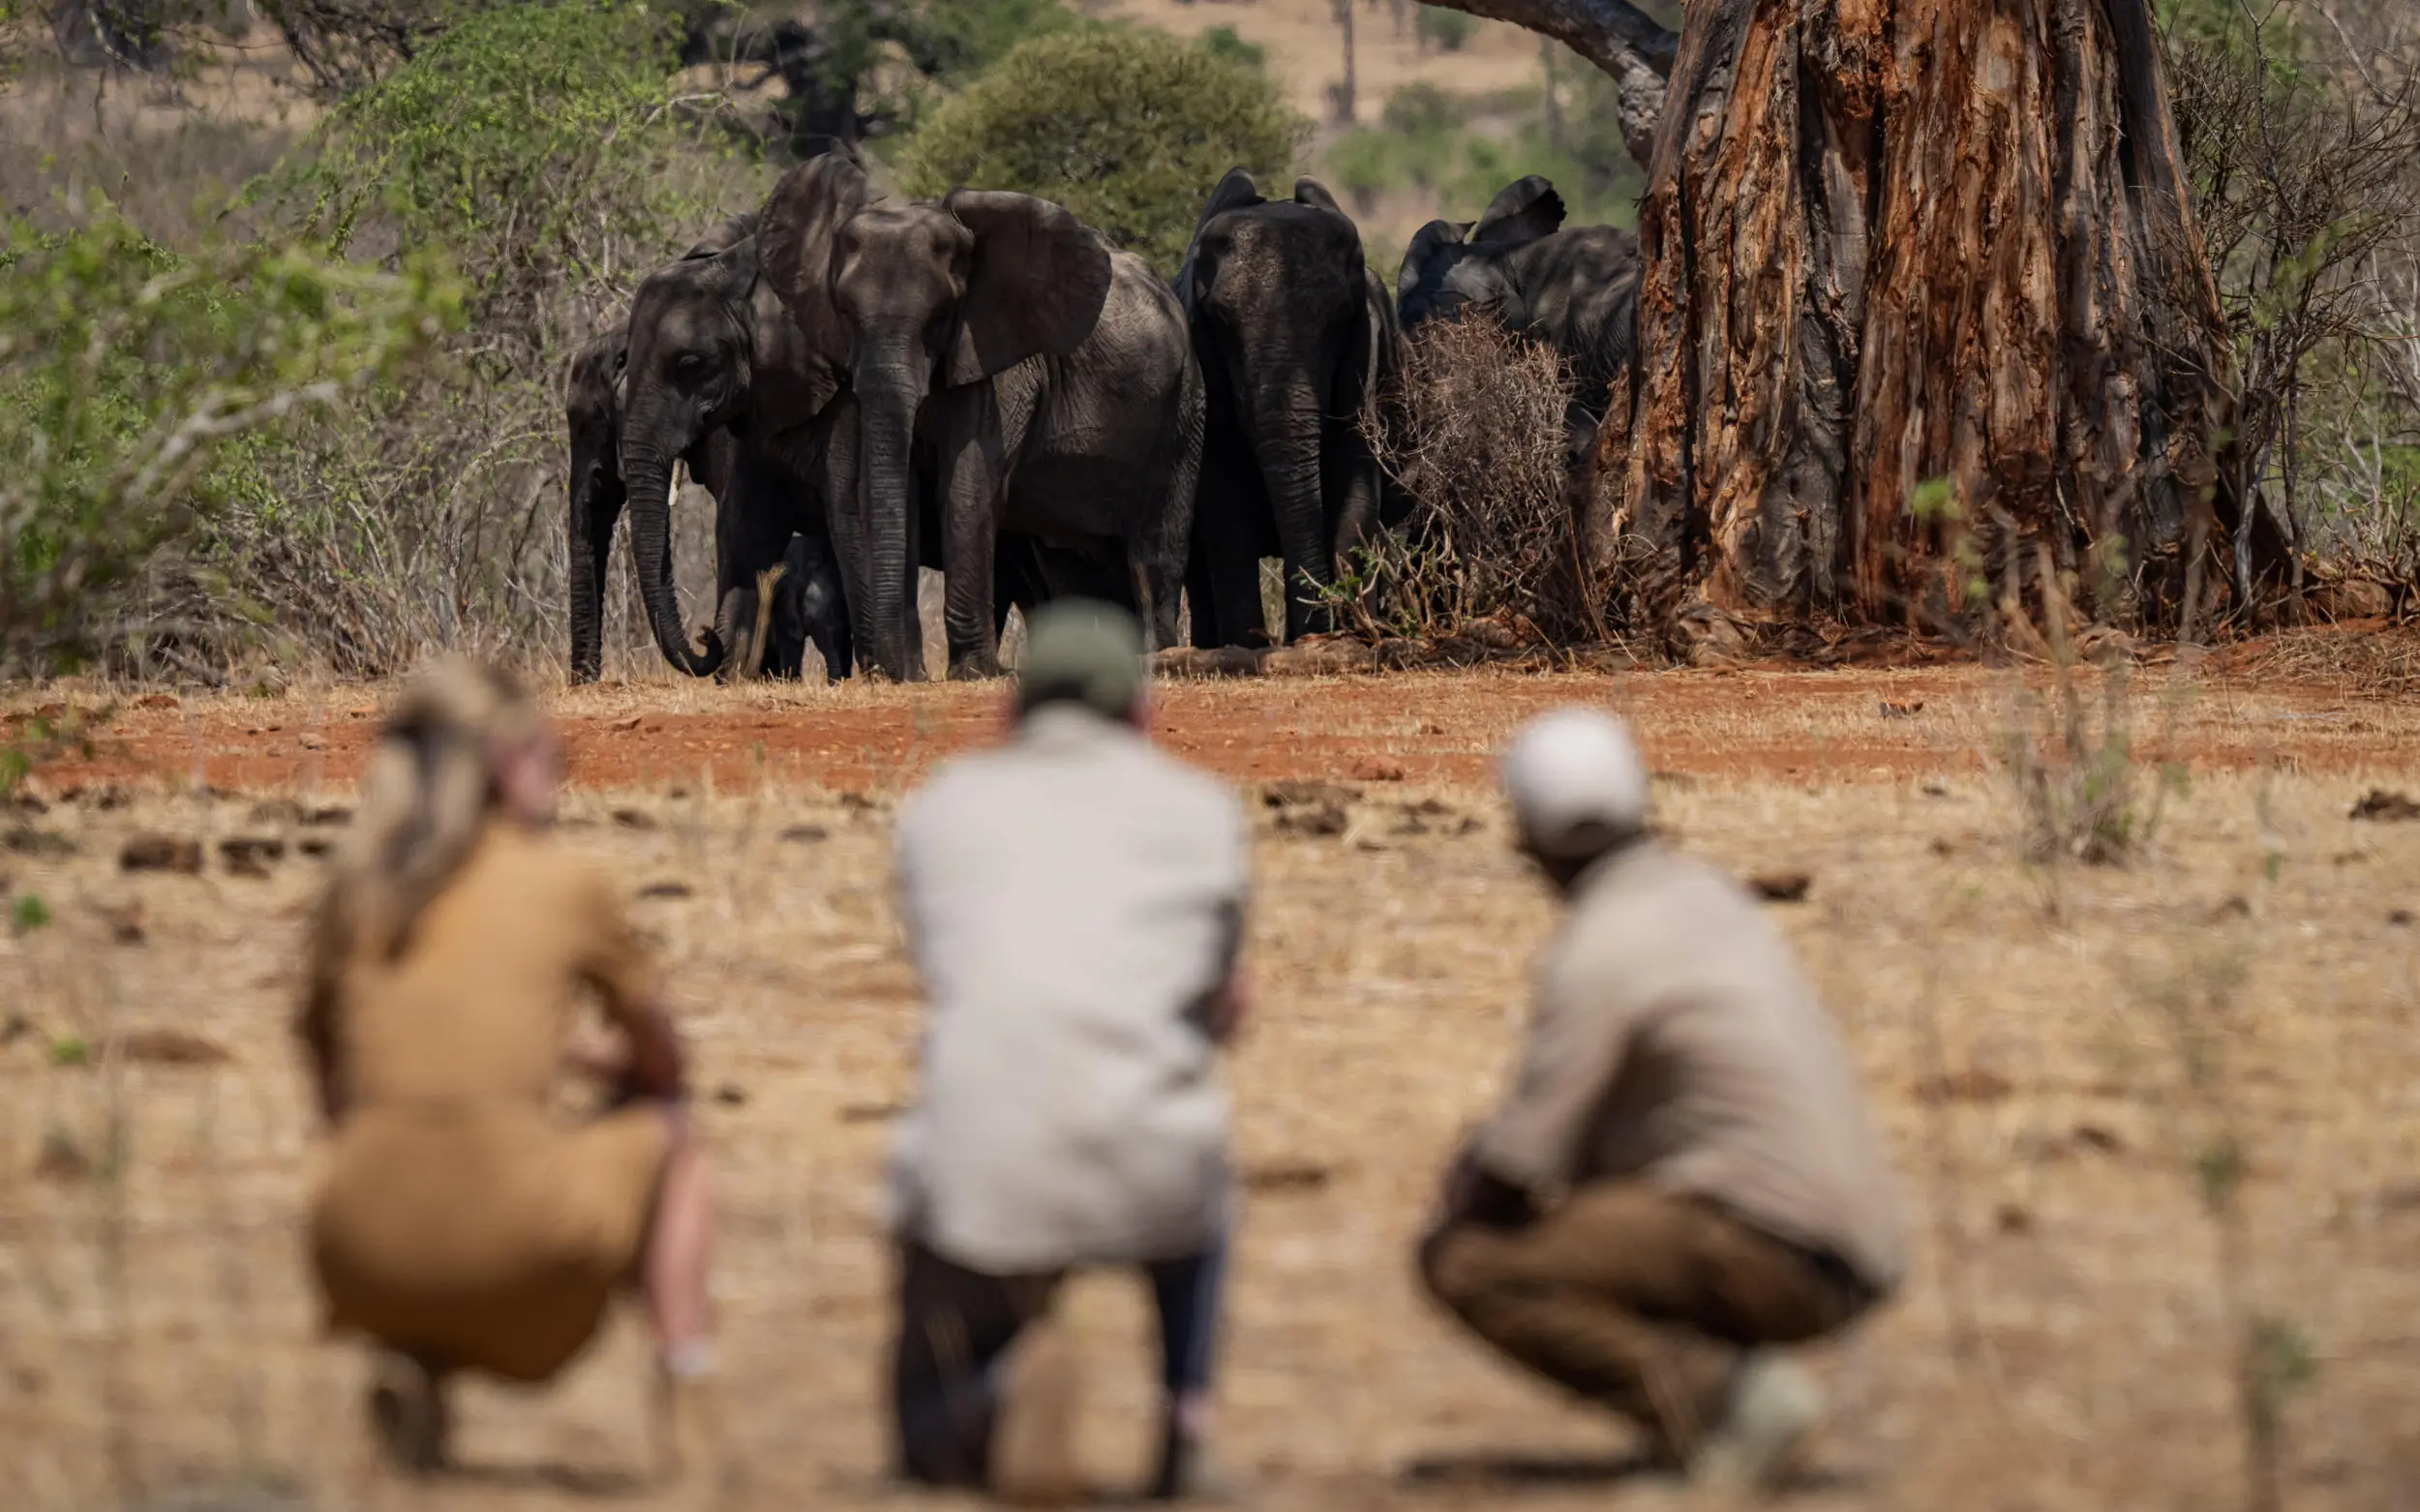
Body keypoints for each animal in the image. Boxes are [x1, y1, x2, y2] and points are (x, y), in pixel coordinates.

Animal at [758, 152, 1204, 681]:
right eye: (844, 313)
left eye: (941, 317)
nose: (889, 670)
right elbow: (904, 491)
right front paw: (916, 674)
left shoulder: (999, 364)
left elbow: (968, 487)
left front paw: (972, 672)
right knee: (1073, 566)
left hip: (1184, 409)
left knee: (1155, 548)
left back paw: (1158, 660)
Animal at [1176, 169, 1401, 648]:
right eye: (1220, 321)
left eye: (1339, 320)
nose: (1311, 638)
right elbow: (1226, 506)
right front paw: (1249, 645)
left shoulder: (1365, 356)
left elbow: (1355, 492)